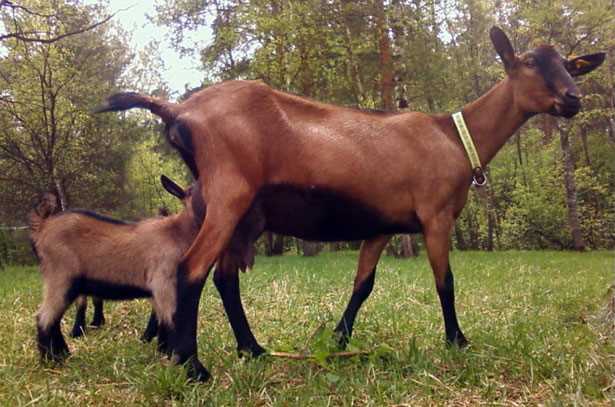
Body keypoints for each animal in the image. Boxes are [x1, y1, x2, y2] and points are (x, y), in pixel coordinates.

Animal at [97, 27, 608, 380]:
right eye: (528, 62)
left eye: (570, 64)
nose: (573, 99)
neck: (453, 137)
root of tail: (178, 110)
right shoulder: (435, 215)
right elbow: (445, 281)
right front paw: (458, 341)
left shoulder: (381, 225)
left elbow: (363, 285)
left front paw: (338, 339)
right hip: (229, 191)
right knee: (191, 269)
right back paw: (194, 367)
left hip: (235, 208)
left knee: (223, 277)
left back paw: (251, 350)